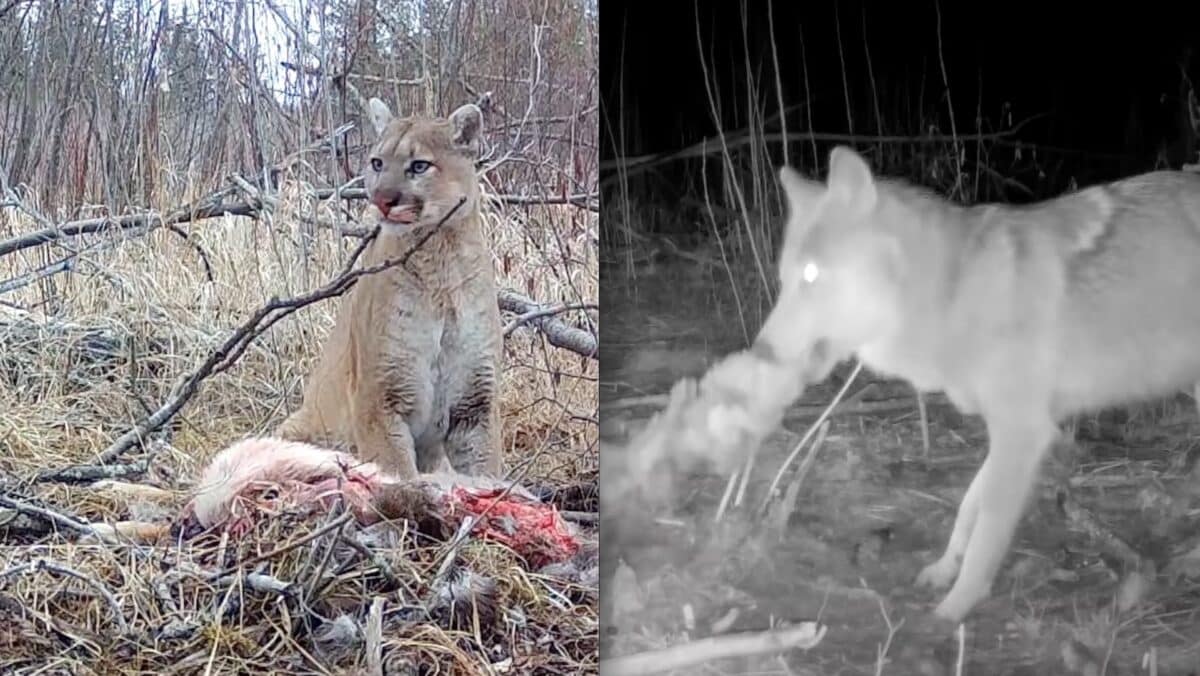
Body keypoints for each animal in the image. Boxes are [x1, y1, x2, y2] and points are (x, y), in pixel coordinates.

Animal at [739, 145, 1200, 622]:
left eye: (811, 275)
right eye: (785, 279)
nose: (760, 351)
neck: (953, 294)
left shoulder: (1024, 435)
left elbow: (988, 534)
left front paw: (951, 610)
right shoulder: (1009, 437)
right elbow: (968, 507)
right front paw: (944, 569)